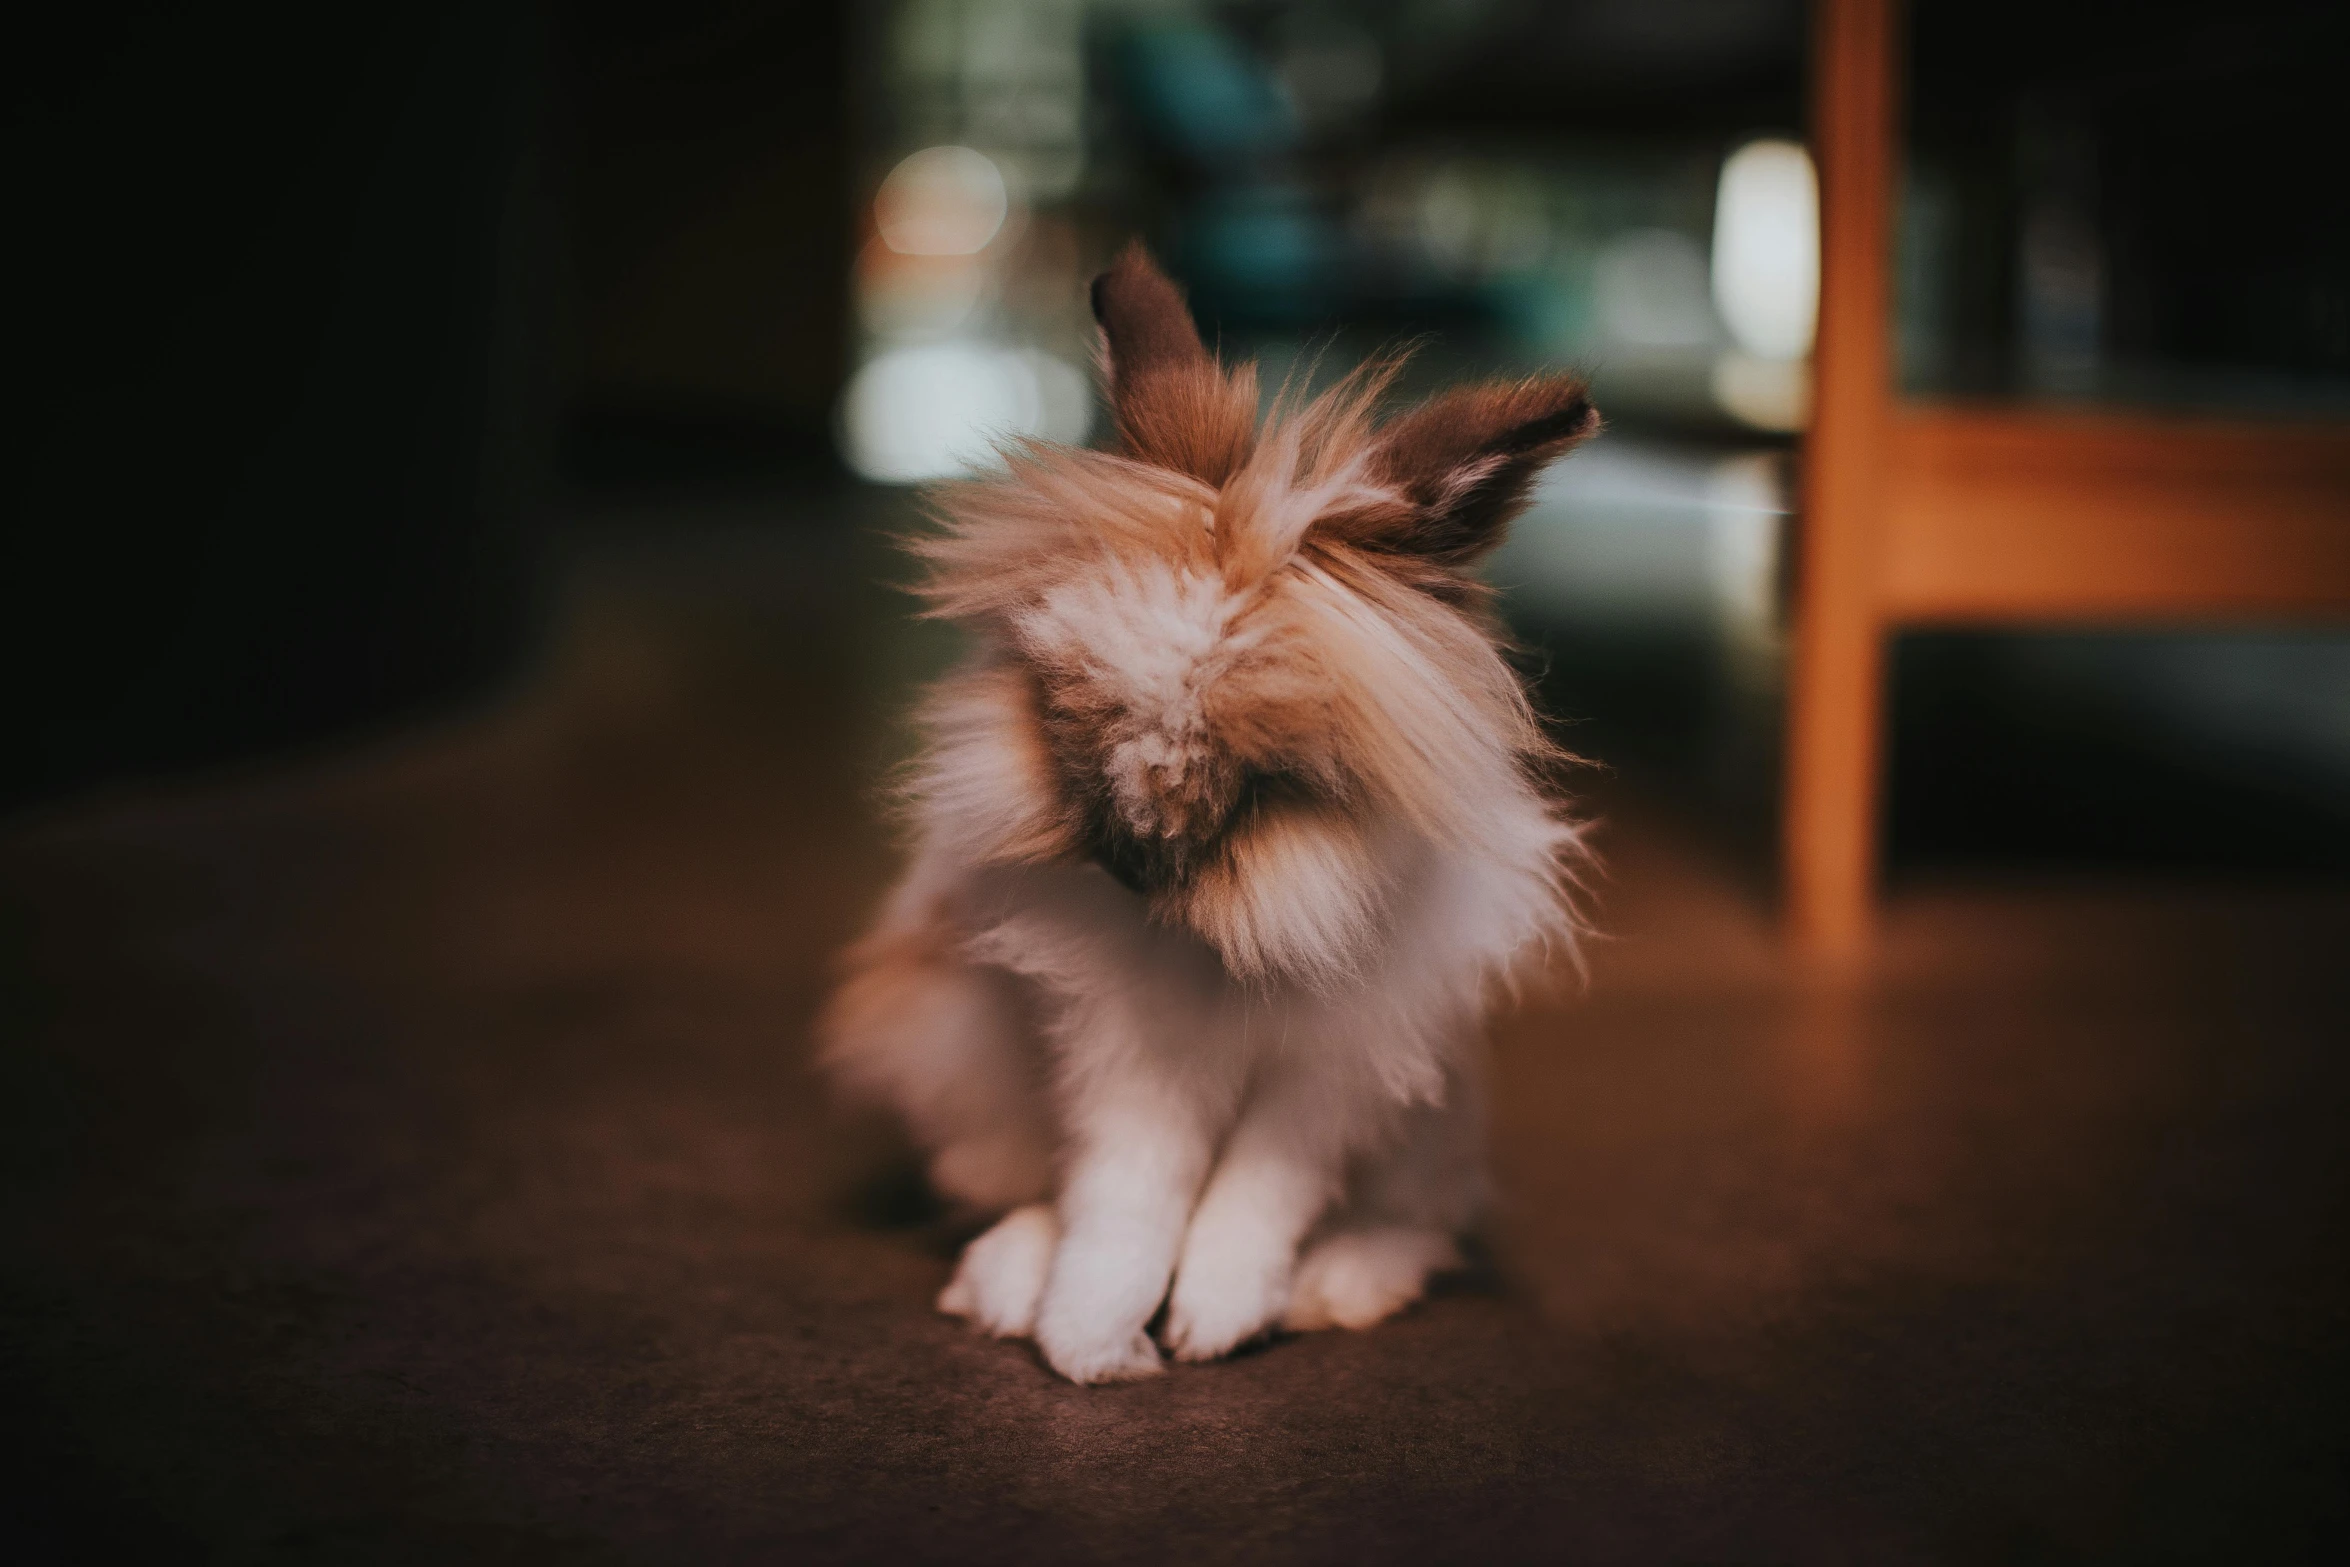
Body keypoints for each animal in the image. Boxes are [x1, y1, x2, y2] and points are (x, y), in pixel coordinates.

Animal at [817, 245, 1607, 1381]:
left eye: (1272, 774)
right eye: (1066, 708)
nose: (1130, 863)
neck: (1217, 942)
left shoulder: (1339, 1069)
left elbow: (1256, 1195)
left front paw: (1213, 1320)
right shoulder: (1127, 1058)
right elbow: (1129, 1195)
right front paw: (1090, 1340)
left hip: (1434, 1128)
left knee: (1427, 1222)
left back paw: (1339, 1282)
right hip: (964, 1065)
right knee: (1016, 1190)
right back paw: (1004, 1280)